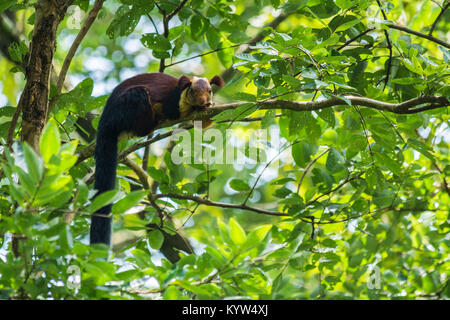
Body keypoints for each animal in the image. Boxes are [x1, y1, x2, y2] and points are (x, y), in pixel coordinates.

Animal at [91, 72, 225, 245]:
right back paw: (151, 124)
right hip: (130, 103)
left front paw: (211, 106)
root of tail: (105, 121)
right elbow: (174, 112)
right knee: (141, 114)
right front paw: (198, 107)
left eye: (210, 91)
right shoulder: (172, 102)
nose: (203, 101)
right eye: (193, 91)